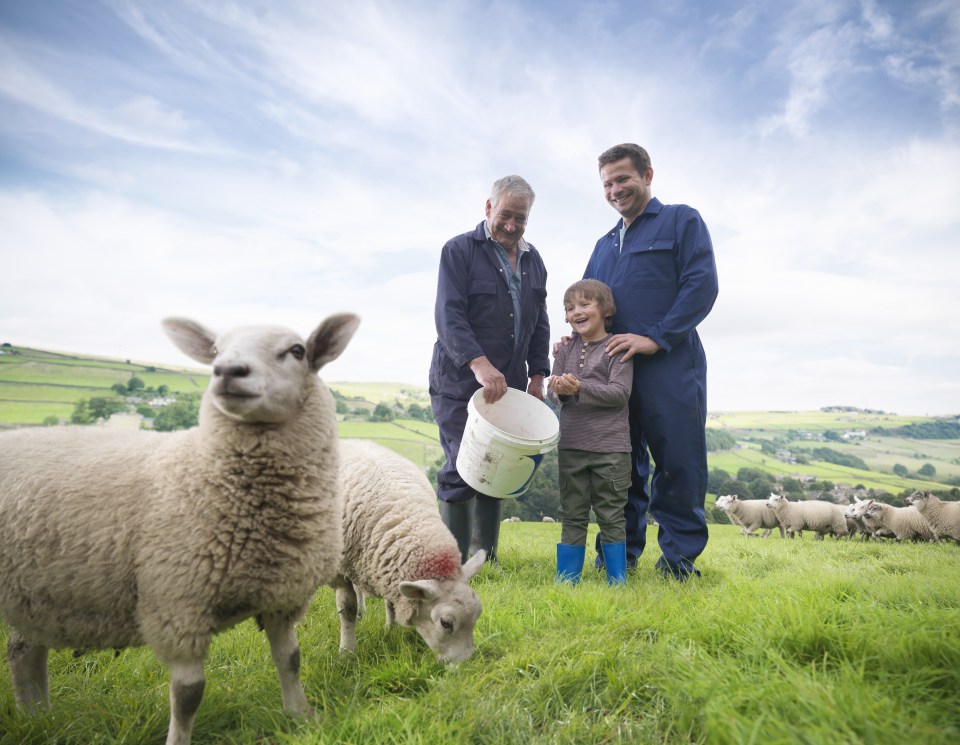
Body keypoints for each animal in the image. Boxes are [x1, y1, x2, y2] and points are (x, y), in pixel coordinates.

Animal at [0, 314, 360, 744]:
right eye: (216, 351)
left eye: (297, 350)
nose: (227, 371)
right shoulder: (178, 603)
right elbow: (188, 694)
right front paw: (179, 739)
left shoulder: (280, 595)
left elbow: (290, 659)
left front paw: (302, 717)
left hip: (34, 593)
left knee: (24, 650)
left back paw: (37, 718)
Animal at [338, 438, 488, 660]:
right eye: (446, 623)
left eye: (477, 616)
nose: (464, 662)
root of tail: (353, 440)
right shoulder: (340, 570)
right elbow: (347, 608)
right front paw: (347, 652)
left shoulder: (383, 562)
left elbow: (390, 602)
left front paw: (390, 628)